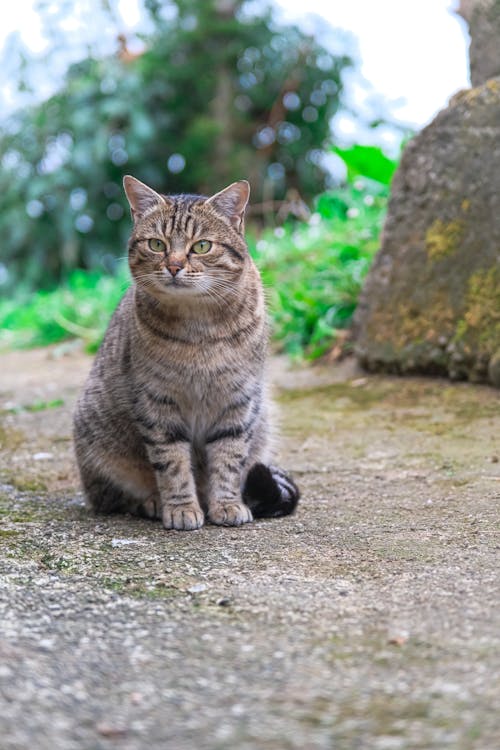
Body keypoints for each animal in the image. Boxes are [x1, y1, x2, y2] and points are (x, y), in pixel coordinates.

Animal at [72, 176, 298, 532]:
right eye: (157, 244)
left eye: (201, 246)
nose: (175, 265)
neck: (200, 328)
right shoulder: (158, 404)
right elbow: (173, 464)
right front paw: (181, 508)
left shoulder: (237, 402)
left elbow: (229, 459)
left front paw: (227, 504)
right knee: (111, 499)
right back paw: (151, 502)